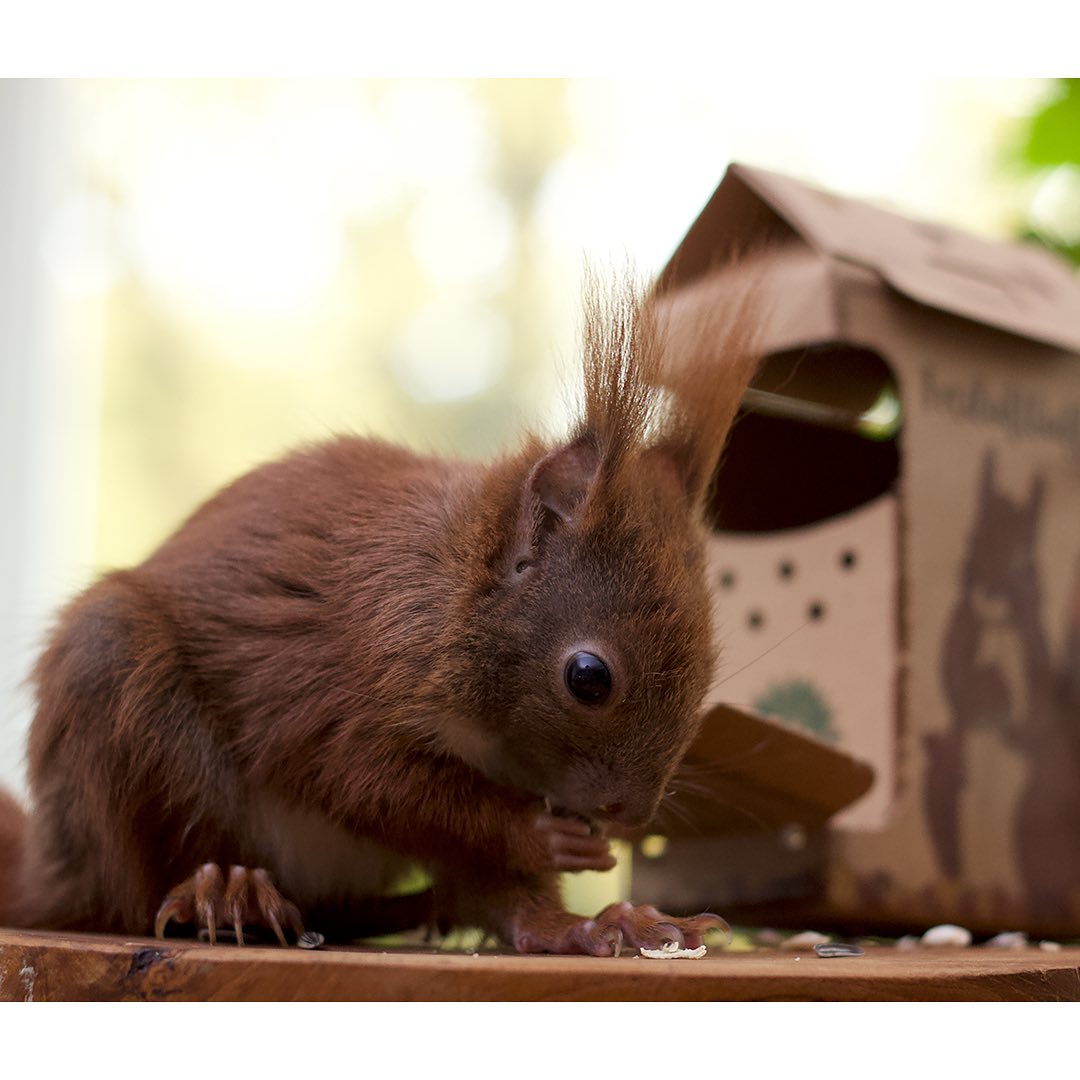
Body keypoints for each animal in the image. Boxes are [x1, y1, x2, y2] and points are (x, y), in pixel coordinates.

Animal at [0, 270, 760, 954]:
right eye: (588, 678)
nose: (628, 814)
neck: (450, 589)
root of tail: (47, 871)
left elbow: (502, 881)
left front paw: (593, 914)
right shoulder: (348, 677)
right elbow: (366, 781)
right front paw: (540, 833)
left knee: (467, 900)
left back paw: (575, 926)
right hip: (120, 693)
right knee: (135, 894)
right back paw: (221, 890)